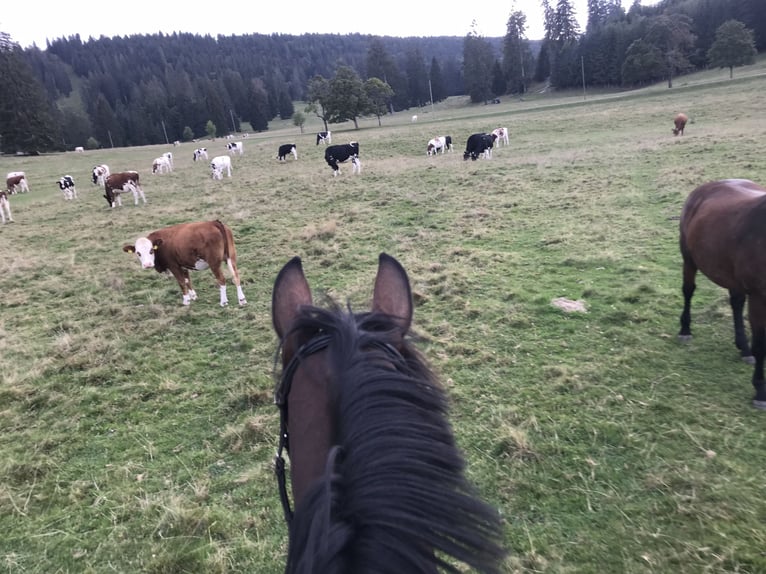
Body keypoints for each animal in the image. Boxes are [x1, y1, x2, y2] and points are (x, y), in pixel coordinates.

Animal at [680, 180, 766, 410]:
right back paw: (685, 330)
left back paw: (744, 348)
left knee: (736, 303)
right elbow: (761, 344)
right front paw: (760, 391)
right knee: (688, 291)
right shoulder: (758, 298)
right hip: (689, 259)